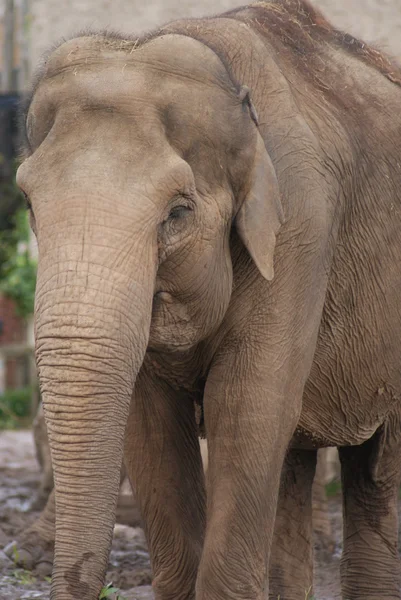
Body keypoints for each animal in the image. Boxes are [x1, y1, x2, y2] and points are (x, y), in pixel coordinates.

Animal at [17, 1, 400, 600]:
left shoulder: (301, 228)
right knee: (294, 462)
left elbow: (249, 404)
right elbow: (149, 419)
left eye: (177, 213)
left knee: (375, 472)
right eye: (30, 204)